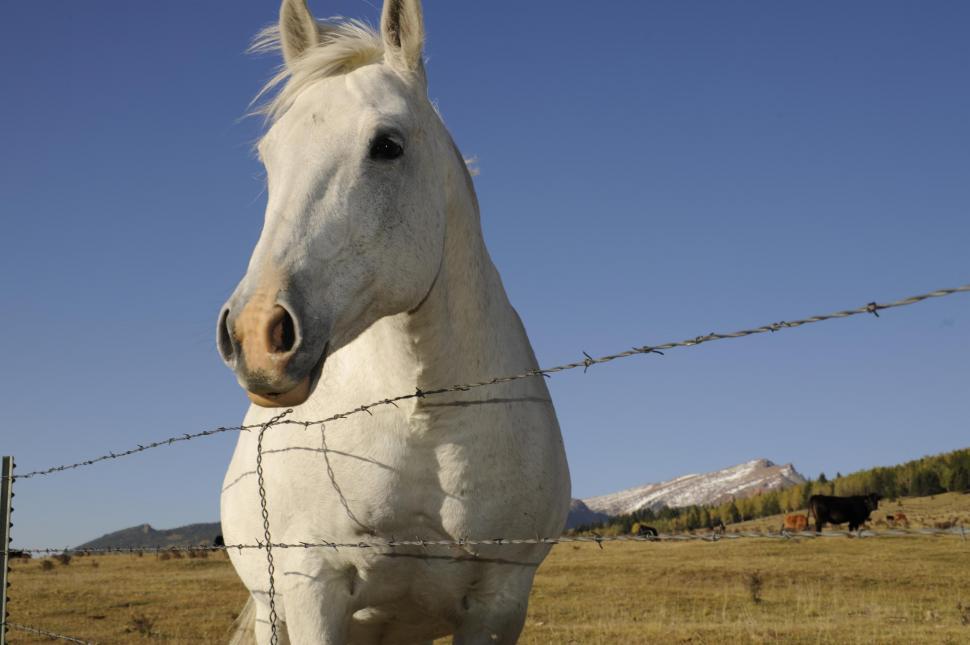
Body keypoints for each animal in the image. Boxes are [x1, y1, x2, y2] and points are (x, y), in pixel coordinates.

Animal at [217, 2, 568, 640]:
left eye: (387, 145)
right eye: (269, 157)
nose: (255, 333)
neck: (423, 421)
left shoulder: (501, 599)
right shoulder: (311, 589)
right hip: (271, 608)